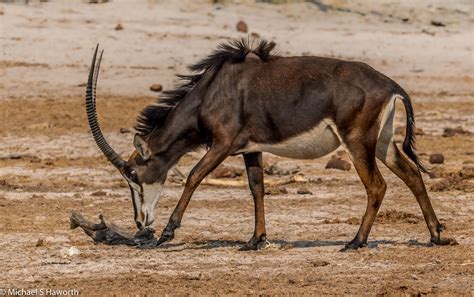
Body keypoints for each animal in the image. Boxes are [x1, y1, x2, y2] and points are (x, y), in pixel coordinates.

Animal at [85, 39, 452, 250]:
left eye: (133, 173)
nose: (140, 223)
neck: (213, 90)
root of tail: (391, 85)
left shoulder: (222, 144)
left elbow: (193, 177)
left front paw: (167, 233)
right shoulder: (251, 149)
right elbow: (257, 188)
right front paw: (255, 240)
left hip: (357, 141)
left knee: (377, 186)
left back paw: (356, 242)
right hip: (383, 143)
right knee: (412, 175)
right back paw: (436, 235)